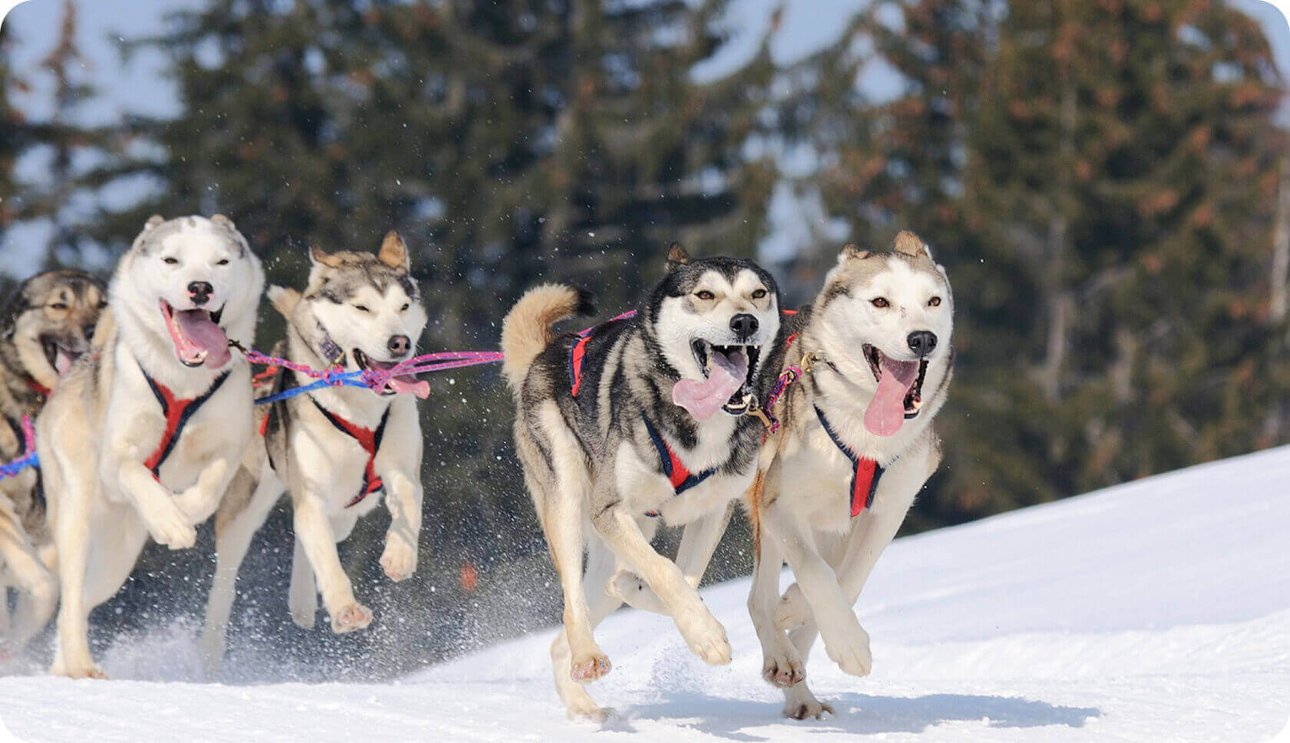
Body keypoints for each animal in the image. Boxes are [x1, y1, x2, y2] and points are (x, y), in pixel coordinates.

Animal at [35, 214, 263, 681]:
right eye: (171, 259)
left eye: (221, 261)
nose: (200, 287)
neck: (182, 380)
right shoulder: (117, 457)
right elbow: (134, 471)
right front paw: (171, 522)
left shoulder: (229, 446)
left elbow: (209, 486)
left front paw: (182, 513)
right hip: (77, 514)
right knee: (71, 596)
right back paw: (79, 665)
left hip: (116, 559)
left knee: (81, 601)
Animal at [196, 232, 428, 670]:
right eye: (362, 307)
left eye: (403, 307)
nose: (400, 343)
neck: (358, 405)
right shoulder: (312, 488)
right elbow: (325, 556)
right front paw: (345, 610)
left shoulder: (399, 465)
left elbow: (409, 495)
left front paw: (400, 556)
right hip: (249, 500)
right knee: (230, 574)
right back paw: (213, 646)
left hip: (350, 509)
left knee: (311, 535)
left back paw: (302, 603)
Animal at [500, 245, 784, 722]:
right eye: (704, 294)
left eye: (758, 294)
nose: (744, 322)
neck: (699, 421)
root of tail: (548, 353)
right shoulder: (611, 510)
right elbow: (666, 572)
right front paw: (706, 635)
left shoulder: (714, 510)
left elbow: (682, 579)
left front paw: (677, 610)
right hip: (568, 497)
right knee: (572, 603)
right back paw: (587, 657)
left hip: (628, 533)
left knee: (569, 627)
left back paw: (584, 705)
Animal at [743, 232, 954, 722]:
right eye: (880, 301)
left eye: (933, 301)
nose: (923, 338)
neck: (863, 437)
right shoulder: (780, 505)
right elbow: (817, 575)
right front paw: (850, 645)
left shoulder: (888, 510)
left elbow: (848, 580)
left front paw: (806, 615)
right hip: (764, 503)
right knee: (758, 598)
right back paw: (782, 657)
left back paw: (798, 682)